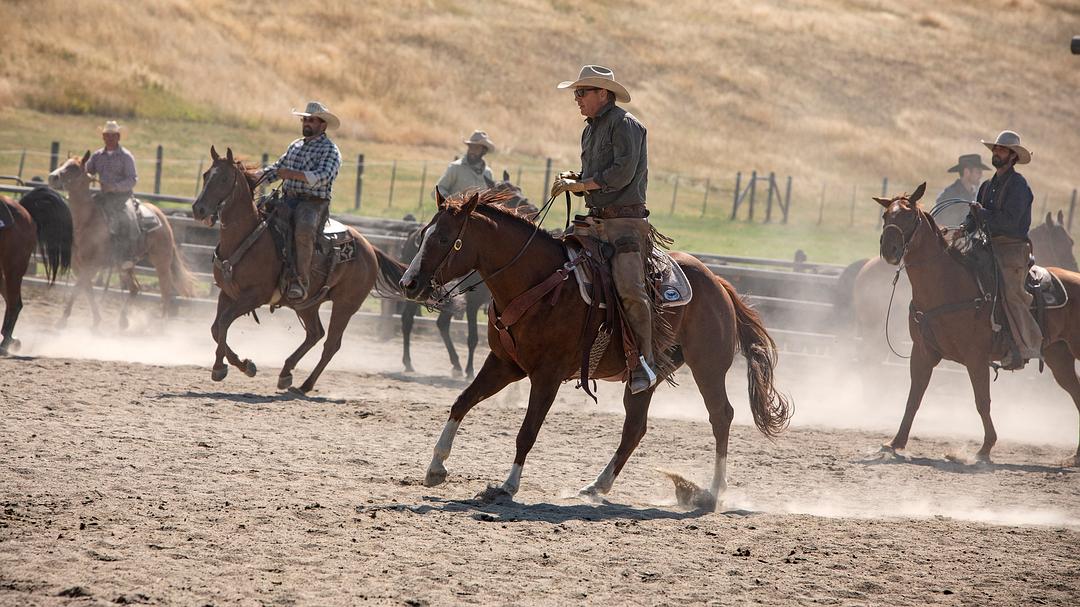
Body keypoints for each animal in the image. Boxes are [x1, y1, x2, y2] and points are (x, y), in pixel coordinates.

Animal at [0, 186, 73, 352]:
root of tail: (26, 213)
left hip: (14, 266)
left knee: (15, 303)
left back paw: (6, 343)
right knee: (12, 301)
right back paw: (11, 340)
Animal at [48, 153, 195, 328]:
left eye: (74, 167)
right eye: (62, 163)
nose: (52, 177)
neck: (87, 221)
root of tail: (161, 216)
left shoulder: (93, 265)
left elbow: (78, 289)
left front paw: (63, 320)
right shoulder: (78, 266)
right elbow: (86, 289)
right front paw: (95, 320)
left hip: (161, 262)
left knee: (166, 291)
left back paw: (159, 326)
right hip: (125, 265)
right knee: (135, 288)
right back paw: (123, 321)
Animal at [187, 146, 406, 393]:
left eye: (224, 178)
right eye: (206, 175)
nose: (198, 209)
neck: (246, 236)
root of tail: (370, 248)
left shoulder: (254, 296)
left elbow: (224, 323)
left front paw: (221, 368)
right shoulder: (227, 293)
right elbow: (216, 328)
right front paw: (243, 365)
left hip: (346, 304)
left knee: (331, 344)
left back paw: (306, 385)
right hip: (307, 303)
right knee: (315, 333)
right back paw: (285, 373)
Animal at [401, 189, 790, 501]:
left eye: (445, 239)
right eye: (422, 235)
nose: (409, 283)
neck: (538, 282)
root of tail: (718, 282)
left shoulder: (547, 375)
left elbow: (527, 432)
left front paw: (507, 485)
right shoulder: (504, 364)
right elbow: (461, 402)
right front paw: (436, 466)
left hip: (708, 366)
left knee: (721, 415)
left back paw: (713, 491)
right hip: (647, 375)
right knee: (635, 427)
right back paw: (596, 486)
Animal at [876, 180, 1080, 462]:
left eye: (909, 216)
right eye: (886, 216)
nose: (889, 250)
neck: (947, 283)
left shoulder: (976, 357)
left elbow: (982, 402)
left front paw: (984, 449)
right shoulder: (922, 352)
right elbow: (913, 398)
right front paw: (895, 443)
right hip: (1058, 355)